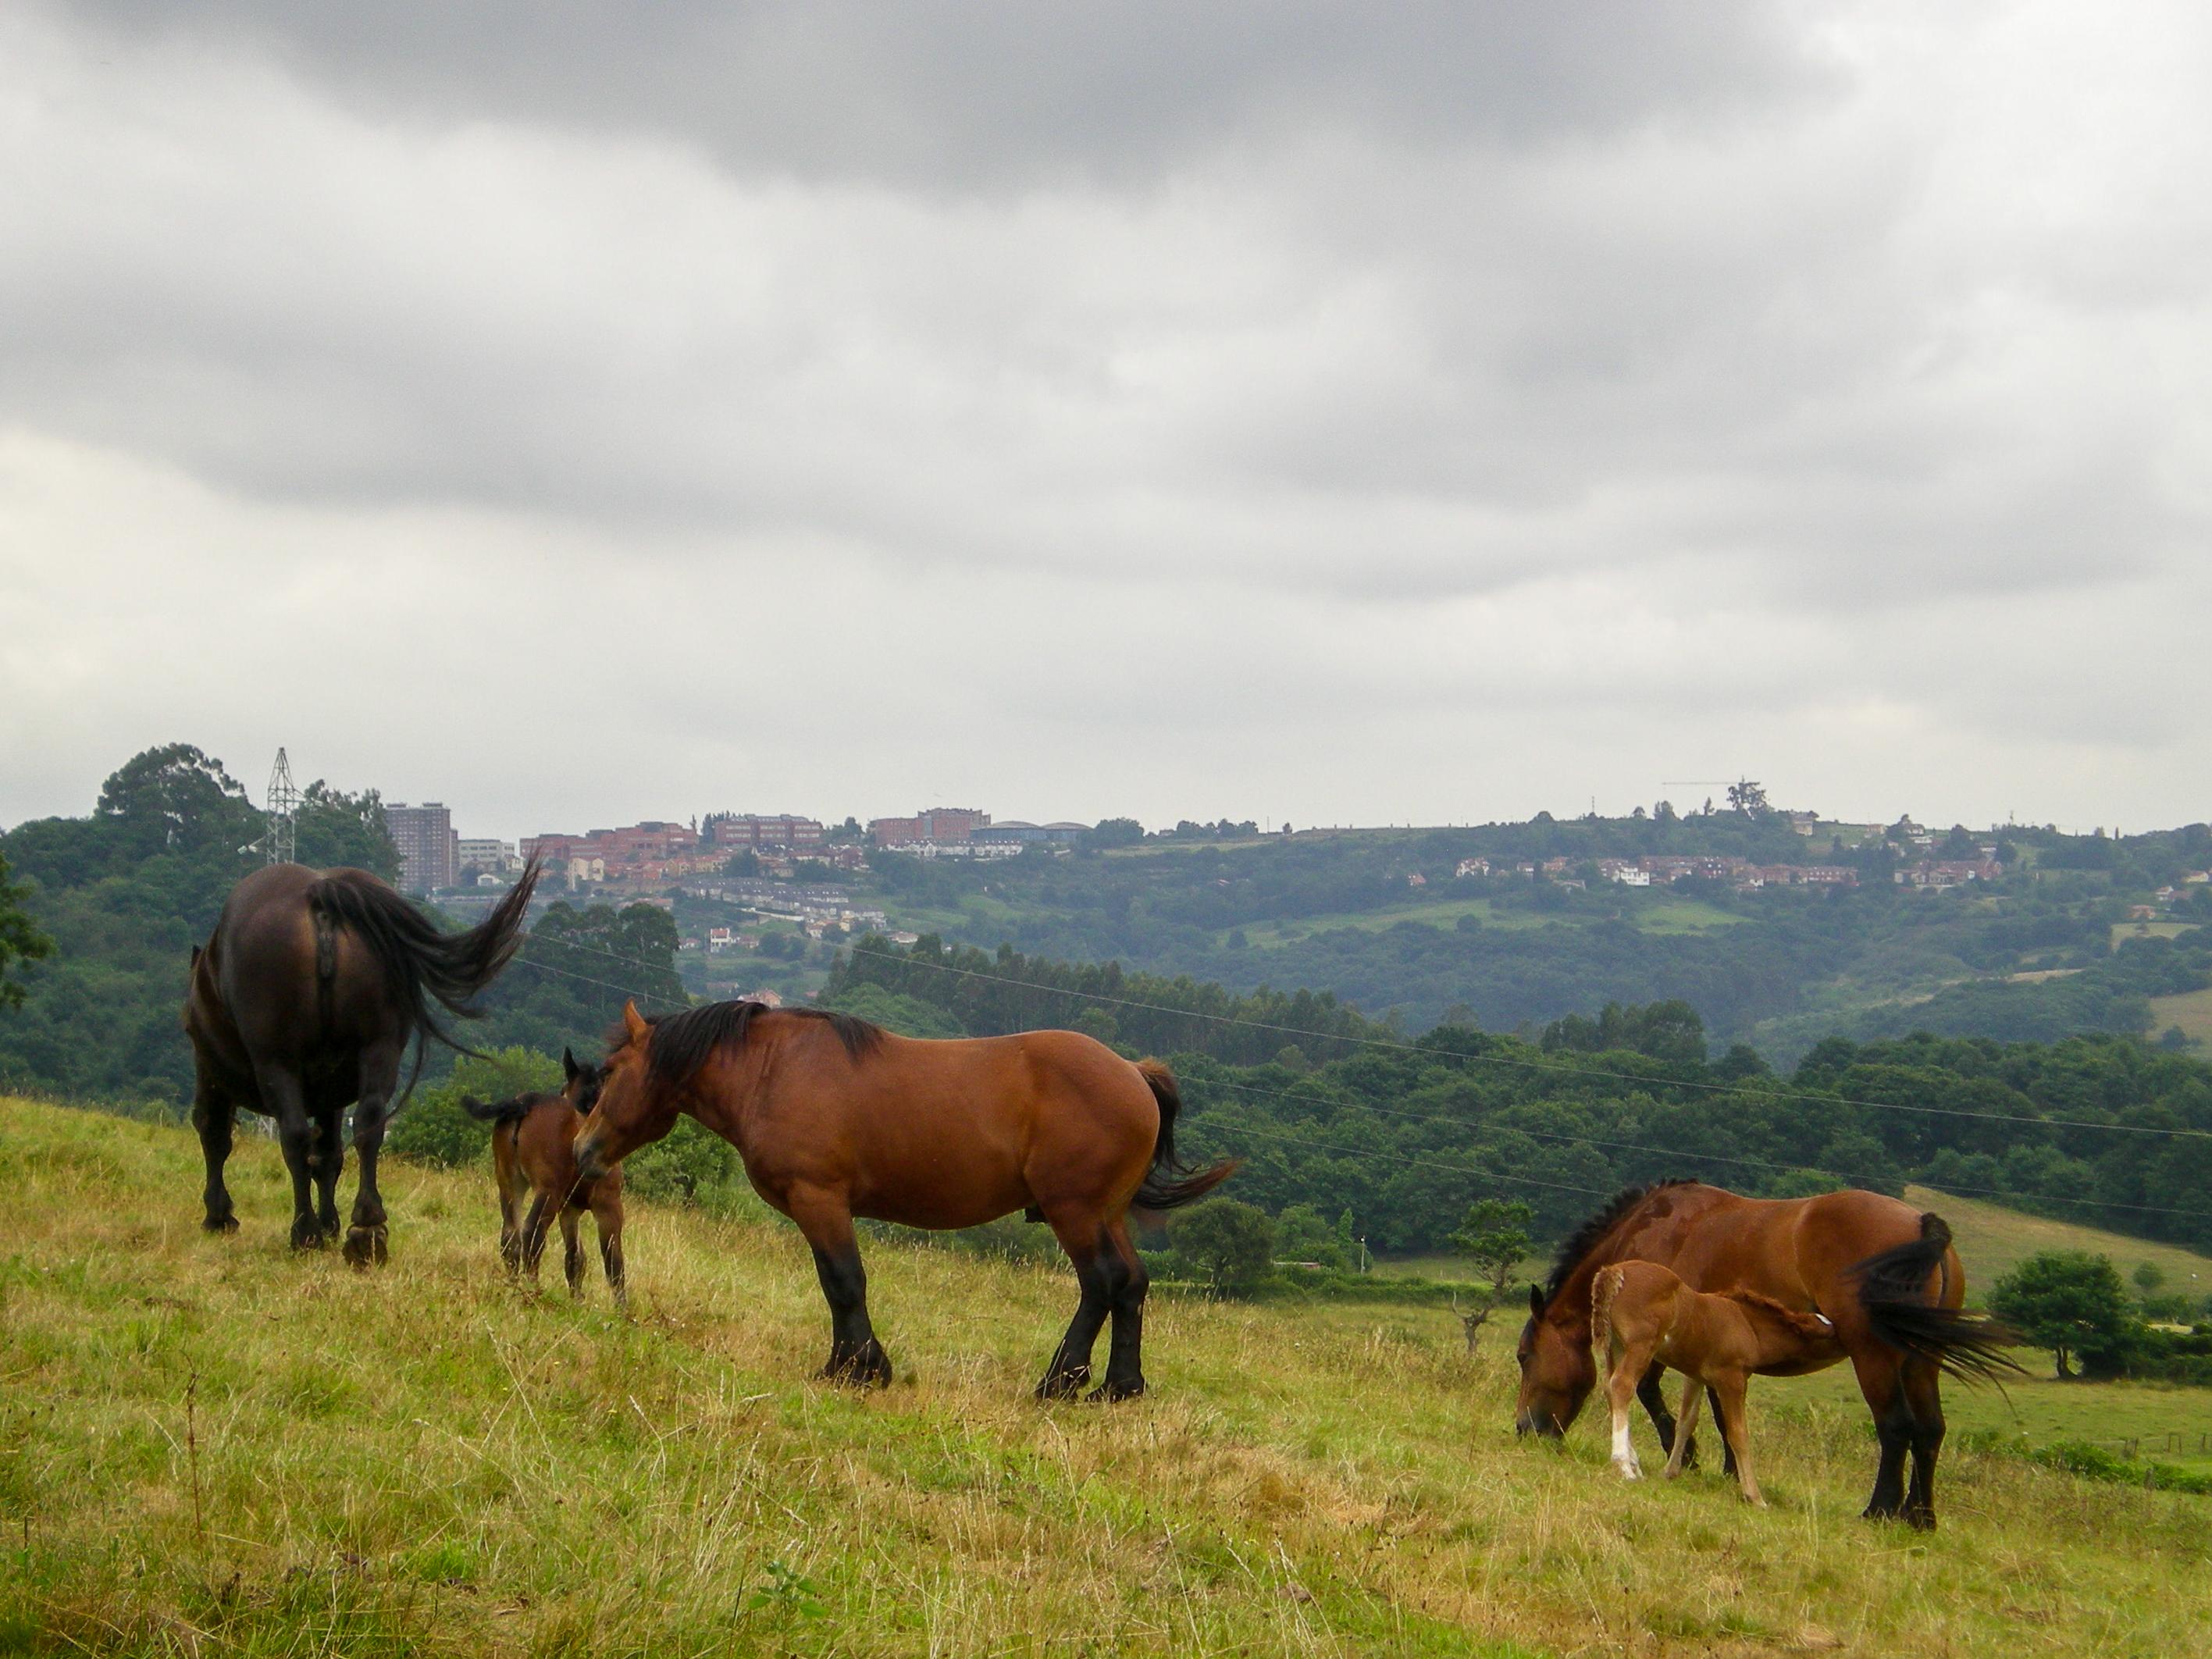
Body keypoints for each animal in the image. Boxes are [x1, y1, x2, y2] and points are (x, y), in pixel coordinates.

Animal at [183, 863, 537, 1265]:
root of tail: (320, 894)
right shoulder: (331, 1094)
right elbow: (329, 1154)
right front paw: (331, 1223)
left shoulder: (211, 1074)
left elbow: (214, 1133)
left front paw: (219, 1215)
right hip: (378, 1049)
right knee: (368, 1125)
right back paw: (367, 1228)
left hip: (277, 1063)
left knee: (293, 1136)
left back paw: (304, 1231)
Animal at [462, 1044, 623, 1309]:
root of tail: (525, 1102)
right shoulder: (608, 1204)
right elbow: (613, 1260)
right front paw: (623, 1311)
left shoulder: (569, 1210)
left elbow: (575, 1258)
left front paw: (577, 1302)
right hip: (547, 1189)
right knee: (532, 1233)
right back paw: (532, 1292)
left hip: (509, 1182)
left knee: (510, 1236)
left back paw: (512, 1288)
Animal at [570, 999, 1238, 1407]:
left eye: (610, 1070)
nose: (582, 1148)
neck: (773, 1069)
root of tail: (1132, 1071)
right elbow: (834, 1283)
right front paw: (851, 1363)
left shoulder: (820, 1199)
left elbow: (843, 1281)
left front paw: (859, 1368)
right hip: (1106, 1213)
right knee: (1131, 1284)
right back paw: (1120, 1387)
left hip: (1073, 1211)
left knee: (1100, 1283)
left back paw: (1058, 1382)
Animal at [1601, 1256, 1840, 1504]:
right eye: (1829, 1335)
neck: (1747, 1325)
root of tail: (1614, 1272)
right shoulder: (1732, 1379)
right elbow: (1738, 1433)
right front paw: (1755, 1496)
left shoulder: (1695, 1375)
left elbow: (1687, 1421)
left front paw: (1670, 1472)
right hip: (1640, 1347)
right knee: (1622, 1385)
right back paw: (1625, 1466)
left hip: (1616, 1347)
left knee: (1610, 1388)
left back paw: (1634, 1464)